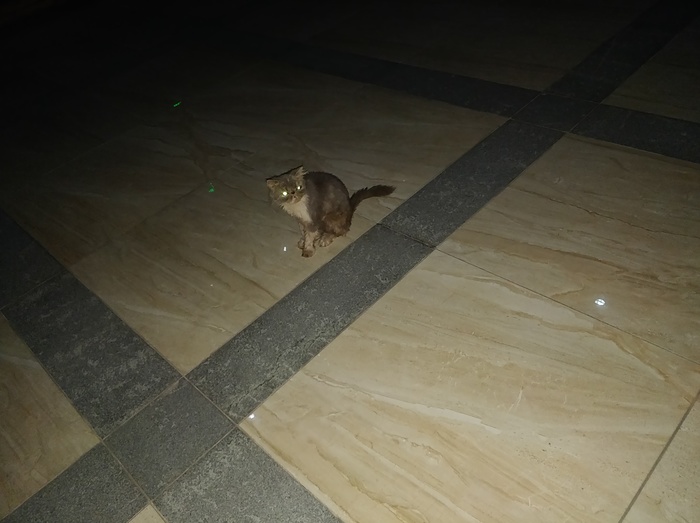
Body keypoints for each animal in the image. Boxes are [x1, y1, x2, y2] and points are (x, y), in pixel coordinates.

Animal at [266, 166, 395, 257]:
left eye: (299, 187)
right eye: (284, 193)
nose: (294, 194)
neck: (297, 208)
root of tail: (350, 210)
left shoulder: (313, 217)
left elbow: (310, 235)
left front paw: (308, 250)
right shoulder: (300, 219)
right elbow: (304, 232)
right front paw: (302, 241)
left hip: (330, 218)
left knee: (341, 231)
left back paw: (325, 239)